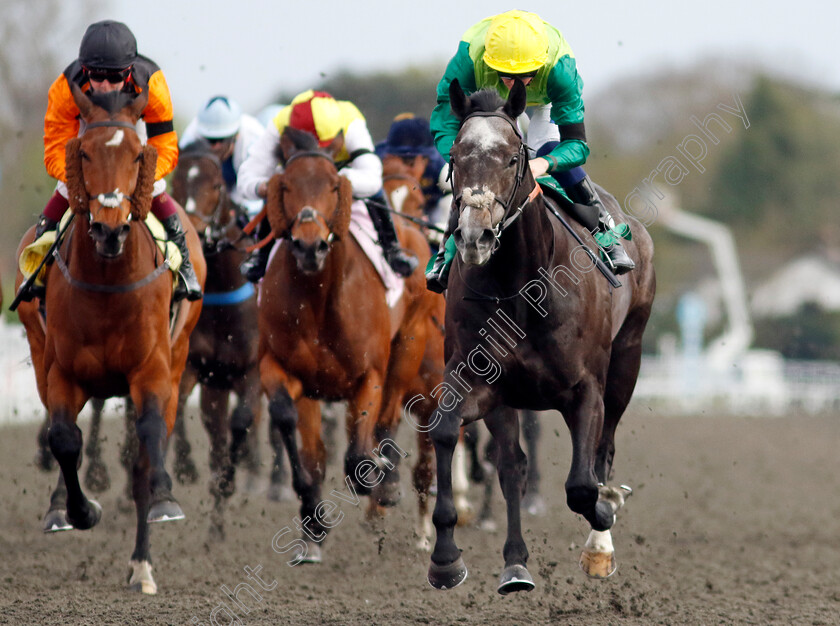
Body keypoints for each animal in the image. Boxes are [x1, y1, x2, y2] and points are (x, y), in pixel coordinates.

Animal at [13, 84, 206, 596]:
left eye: (139, 154)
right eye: (83, 151)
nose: (110, 227)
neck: (107, 283)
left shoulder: (153, 370)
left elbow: (148, 444)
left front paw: (159, 513)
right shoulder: (62, 372)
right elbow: (63, 438)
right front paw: (80, 510)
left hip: (180, 355)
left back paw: (148, 544)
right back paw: (60, 508)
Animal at [260, 124, 440, 560]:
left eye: (332, 185)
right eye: (285, 185)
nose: (310, 246)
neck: (319, 299)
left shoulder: (369, 374)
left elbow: (360, 452)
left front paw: (377, 482)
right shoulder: (283, 369)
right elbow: (294, 431)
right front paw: (313, 521)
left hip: (409, 344)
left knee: (390, 416)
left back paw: (388, 486)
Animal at [426, 80, 656, 592]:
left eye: (513, 157)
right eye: (455, 155)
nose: (474, 237)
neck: (521, 286)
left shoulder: (586, 388)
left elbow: (583, 485)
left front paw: (605, 513)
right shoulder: (481, 382)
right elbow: (451, 433)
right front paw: (446, 557)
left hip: (627, 359)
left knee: (603, 451)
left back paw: (600, 541)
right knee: (512, 465)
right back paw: (514, 565)